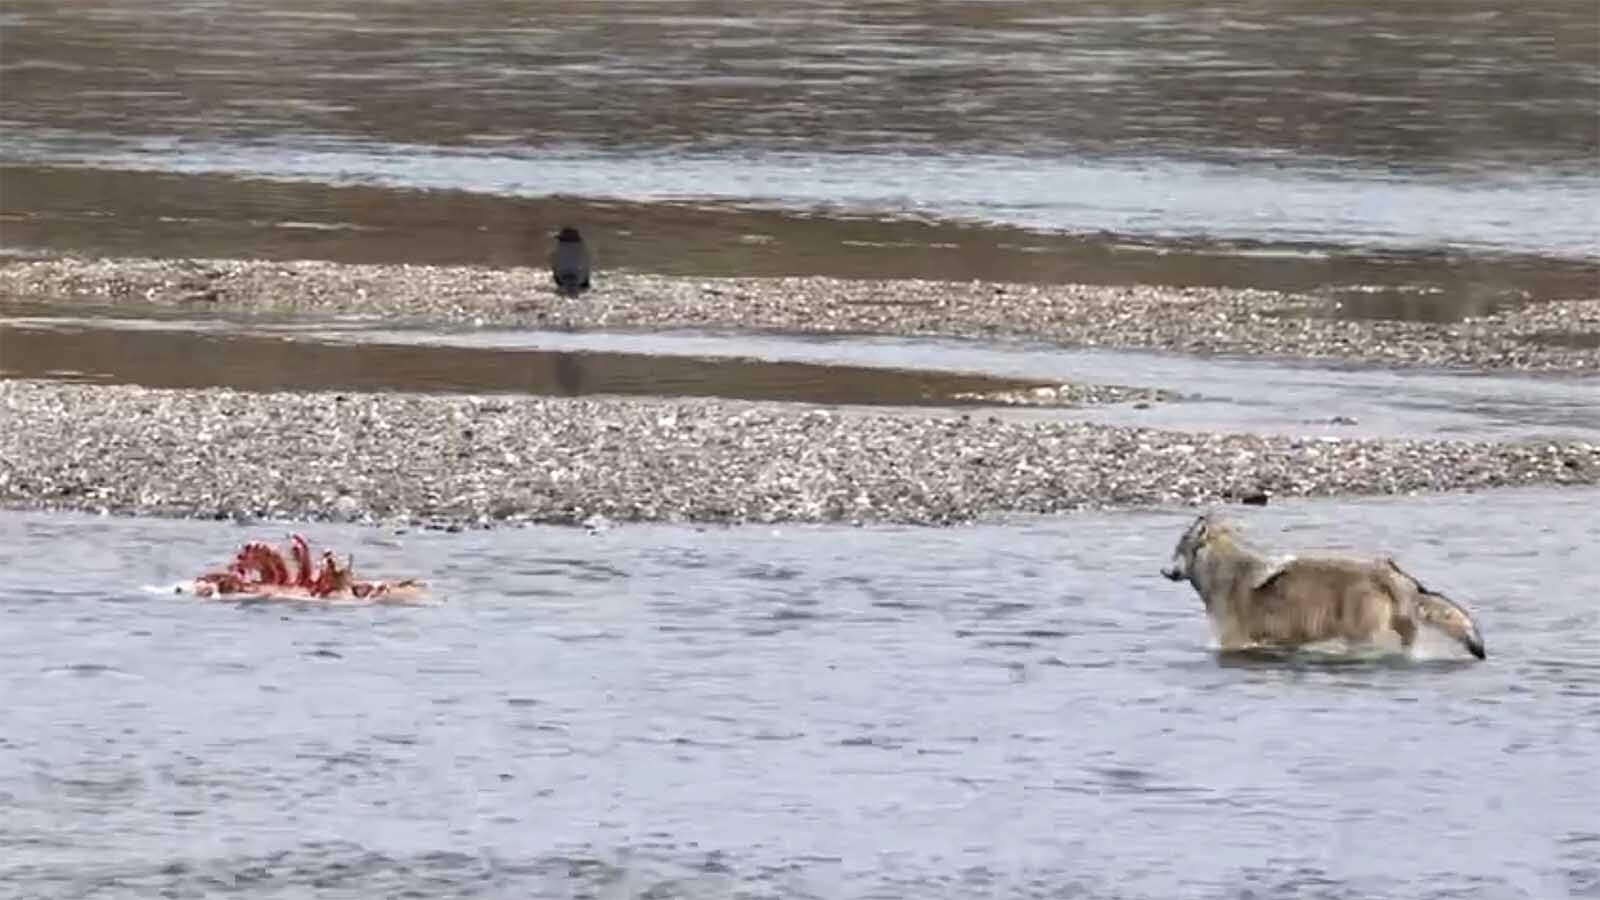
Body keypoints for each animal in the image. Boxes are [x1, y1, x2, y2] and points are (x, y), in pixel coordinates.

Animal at [1160, 513, 1486, 660]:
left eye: (1176, 548)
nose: (1162, 570)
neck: (1221, 570)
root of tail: (1392, 572)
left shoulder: (1232, 642)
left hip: (1361, 636)